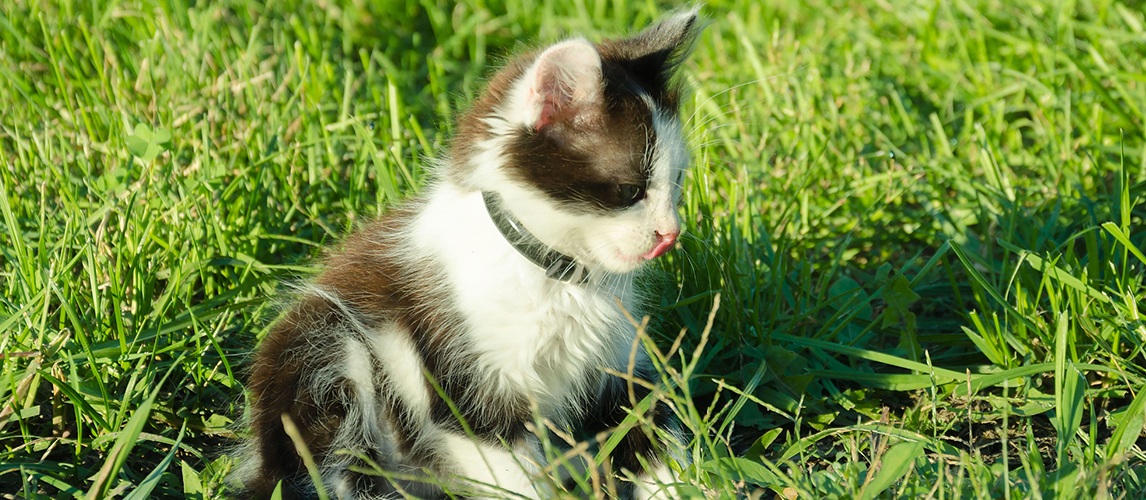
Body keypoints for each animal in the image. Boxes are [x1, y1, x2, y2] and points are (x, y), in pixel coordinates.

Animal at [231, 7, 701, 499]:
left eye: (677, 182)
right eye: (630, 190)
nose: (670, 234)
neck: (554, 276)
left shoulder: (620, 363)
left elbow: (653, 424)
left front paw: (684, 485)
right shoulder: (464, 385)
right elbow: (512, 473)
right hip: (324, 349)